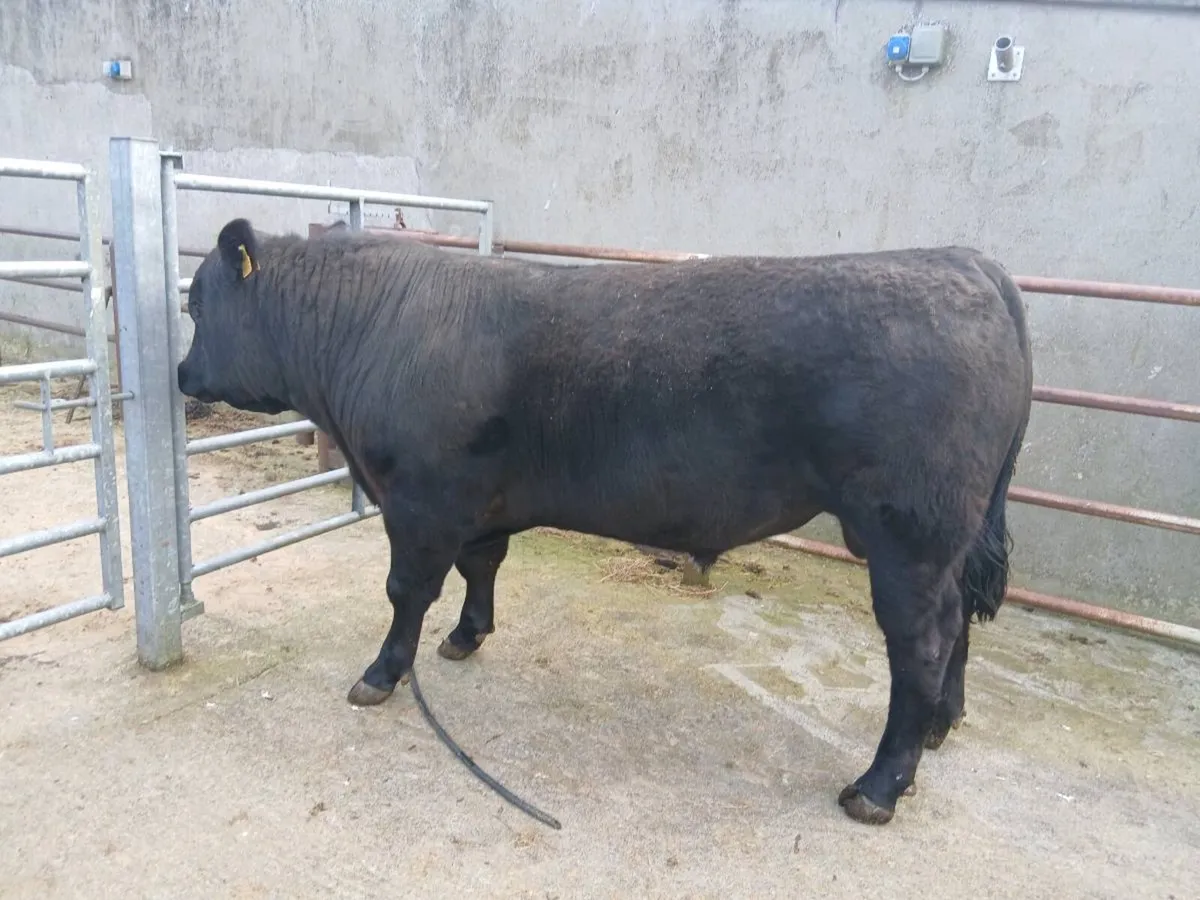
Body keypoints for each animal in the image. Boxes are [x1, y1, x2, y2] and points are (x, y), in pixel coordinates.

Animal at [177, 217, 1033, 827]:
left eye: (194, 301)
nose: (181, 373)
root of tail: (963, 262)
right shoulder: (480, 504)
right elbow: (480, 567)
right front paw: (466, 636)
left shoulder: (419, 500)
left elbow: (404, 591)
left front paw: (383, 674)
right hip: (946, 537)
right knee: (959, 620)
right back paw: (940, 726)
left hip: (906, 532)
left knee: (922, 641)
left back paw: (880, 785)